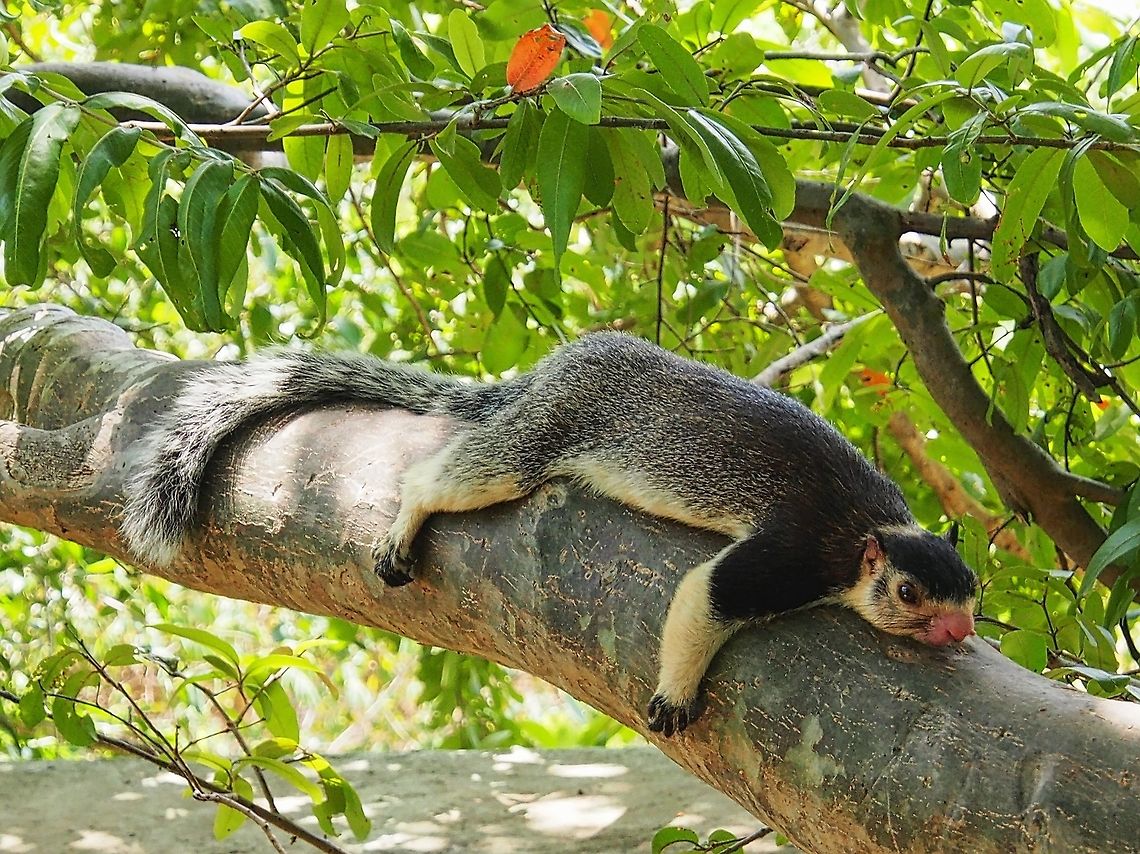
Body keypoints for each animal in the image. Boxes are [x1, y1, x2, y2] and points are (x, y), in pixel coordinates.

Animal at [122, 332, 978, 737]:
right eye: (909, 593)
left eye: (973, 595)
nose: (960, 632)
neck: (872, 529)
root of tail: (550, 371)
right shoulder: (797, 551)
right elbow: (707, 593)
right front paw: (674, 695)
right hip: (539, 438)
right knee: (451, 477)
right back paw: (405, 523)